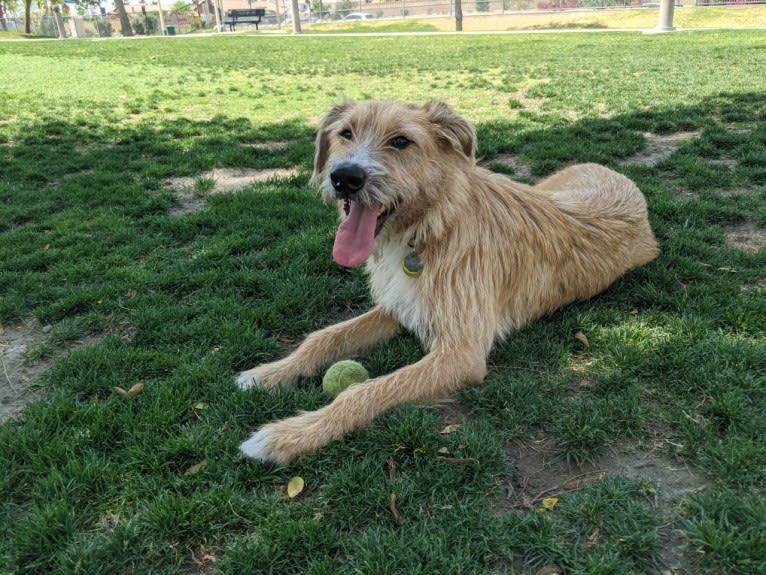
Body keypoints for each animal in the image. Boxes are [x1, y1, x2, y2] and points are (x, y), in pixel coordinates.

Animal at [238, 101, 660, 466]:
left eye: (401, 141)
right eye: (345, 133)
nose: (344, 177)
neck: (431, 227)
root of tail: (613, 171)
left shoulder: (462, 352)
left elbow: (364, 389)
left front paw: (289, 435)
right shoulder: (400, 304)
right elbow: (324, 338)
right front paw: (268, 373)